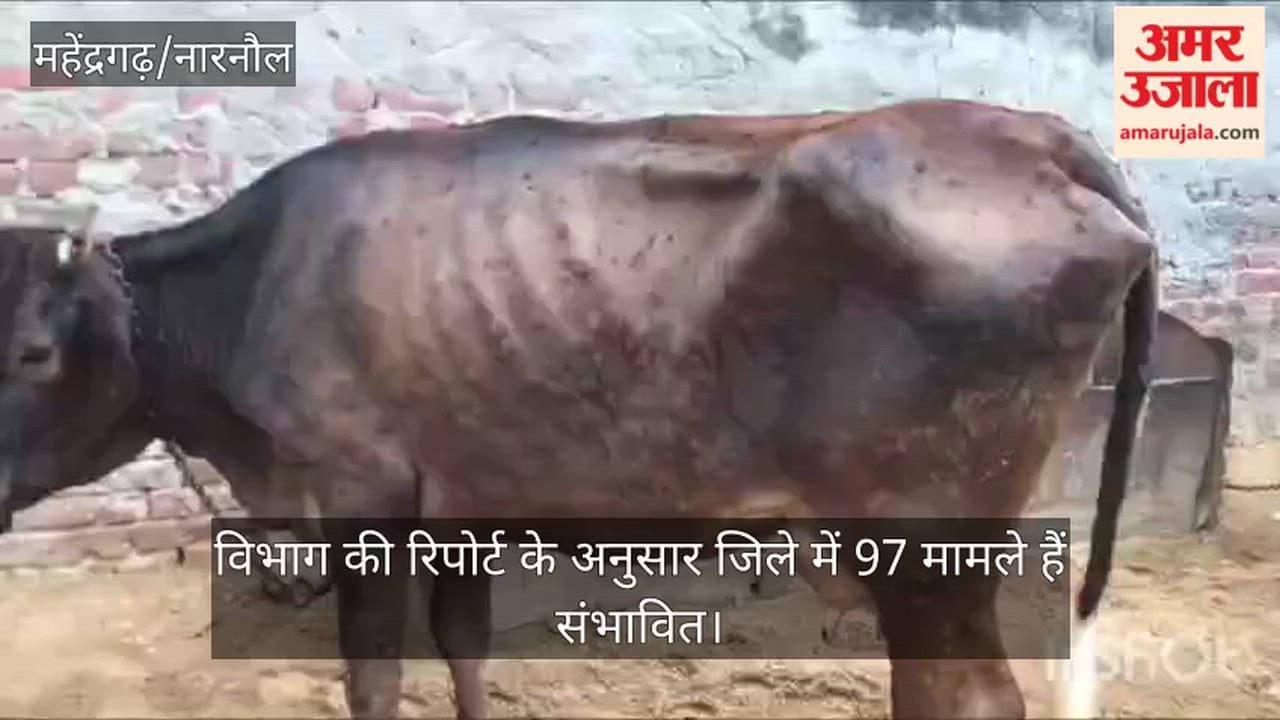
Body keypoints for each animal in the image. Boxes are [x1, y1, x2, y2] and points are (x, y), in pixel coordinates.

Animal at [0, 98, 1155, 720]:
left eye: (33, 351)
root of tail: (1028, 133)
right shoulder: (461, 504)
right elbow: (463, 645)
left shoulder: (364, 492)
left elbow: (373, 677)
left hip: (923, 540)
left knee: (963, 694)